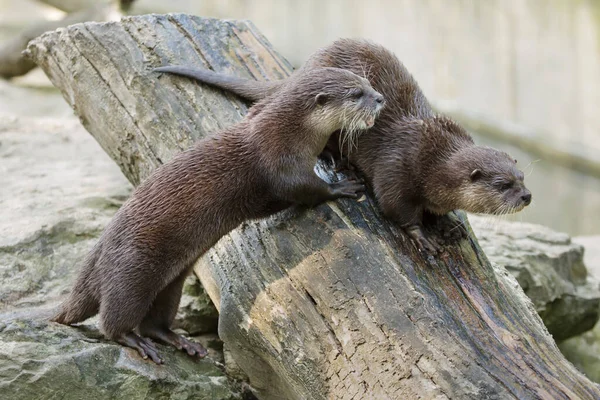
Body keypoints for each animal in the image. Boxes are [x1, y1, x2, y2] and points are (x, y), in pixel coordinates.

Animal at [55, 67, 384, 364]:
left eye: (366, 81)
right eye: (356, 94)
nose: (380, 98)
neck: (291, 132)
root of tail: (97, 255)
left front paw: (331, 156)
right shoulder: (278, 161)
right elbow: (305, 189)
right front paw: (343, 186)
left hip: (171, 281)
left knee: (154, 322)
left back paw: (181, 342)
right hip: (131, 271)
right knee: (114, 320)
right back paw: (136, 341)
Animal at [154, 39, 528, 253]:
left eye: (521, 176)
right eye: (502, 184)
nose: (526, 196)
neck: (431, 161)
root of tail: (300, 72)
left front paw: (450, 223)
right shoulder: (398, 169)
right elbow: (396, 209)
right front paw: (423, 237)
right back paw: (337, 160)